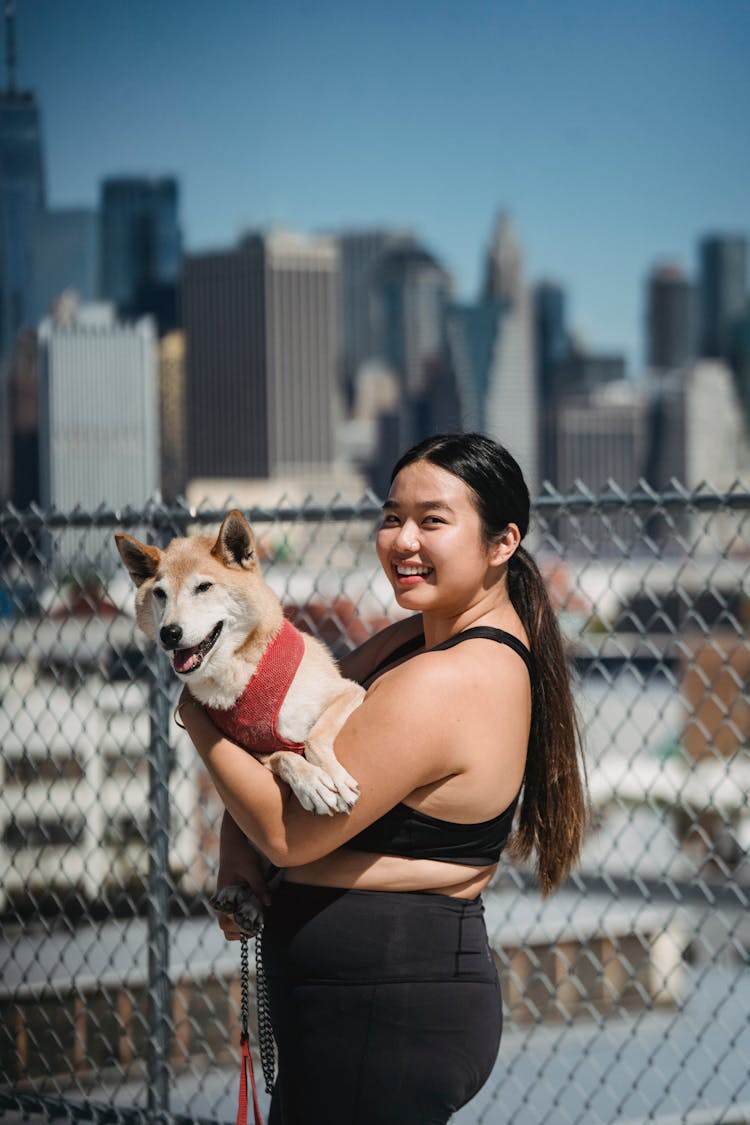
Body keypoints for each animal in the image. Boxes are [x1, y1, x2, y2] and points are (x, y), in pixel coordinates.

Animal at [114, 510, 366, 931]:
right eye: (160, 593)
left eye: (203, 587)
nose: (170, 633)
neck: (238, 677)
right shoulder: (250, 756)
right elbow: (284, 757)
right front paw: (312, 784)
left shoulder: (348, 692)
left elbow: (315, 738)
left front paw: (328, 775)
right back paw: (242, 899)